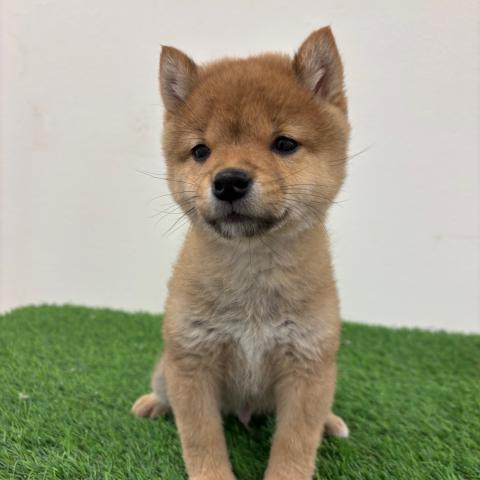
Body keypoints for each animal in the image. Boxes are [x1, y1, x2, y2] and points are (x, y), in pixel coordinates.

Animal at [132, 26, 350, 480]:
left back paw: (330, 422)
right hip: (168, 367)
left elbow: (295, 446)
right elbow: (201, 439)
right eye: (201, 151)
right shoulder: (191, 362)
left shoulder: (308, 367)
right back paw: (154, 403)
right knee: (162, 386)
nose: (228, 181)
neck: (252, 272)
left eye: (284, 143)